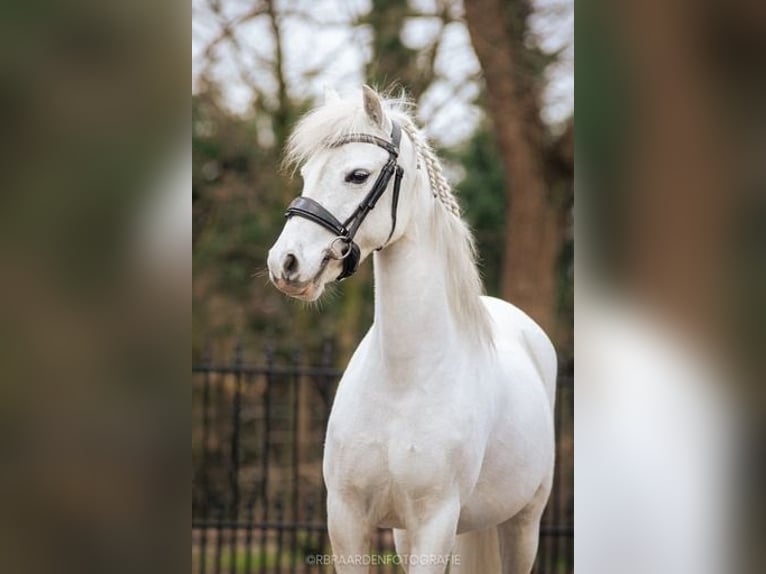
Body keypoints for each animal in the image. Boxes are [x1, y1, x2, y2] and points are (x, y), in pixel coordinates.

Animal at [270, 86, 560, 574]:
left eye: (357, 175)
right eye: (308, 173)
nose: (285, 263)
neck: (403, 380)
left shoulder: (435, 522)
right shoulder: (348, 518)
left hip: (523, 524)